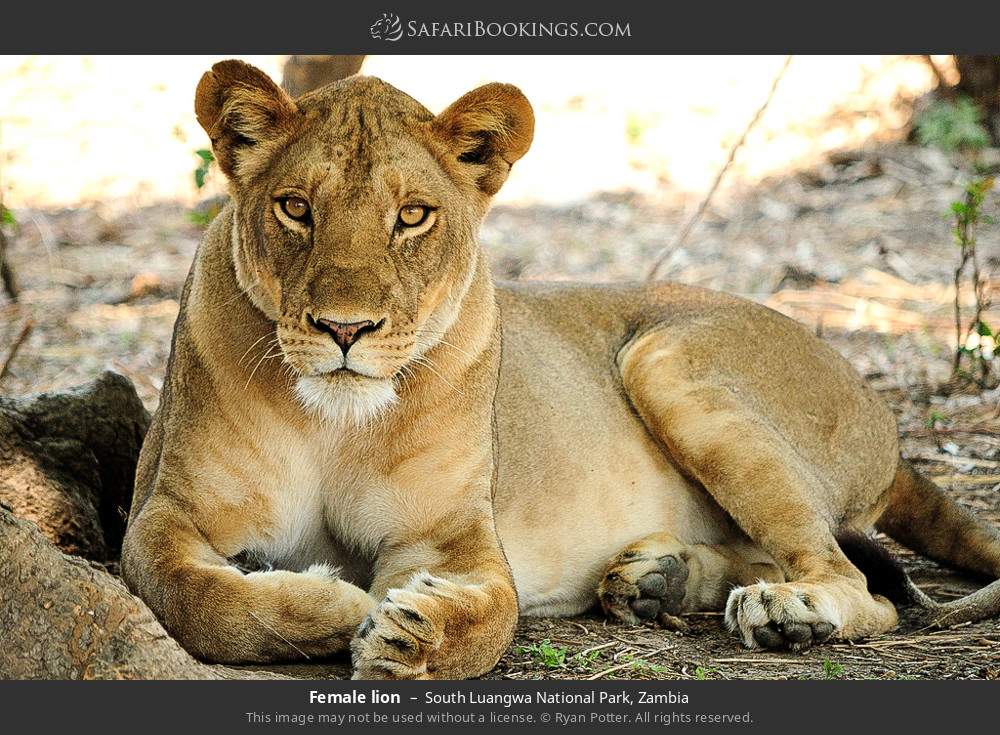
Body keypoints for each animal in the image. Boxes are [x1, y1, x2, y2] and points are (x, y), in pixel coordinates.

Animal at [121, 60, 1000, 680]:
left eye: (413, 216)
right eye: (296, 208)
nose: (345, 329)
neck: (336, 421)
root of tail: (884, 419)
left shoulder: (452, 538)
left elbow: (490, 615)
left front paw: (409, 632)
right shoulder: (166, 507)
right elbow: (187, 589)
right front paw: (330, 602)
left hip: (663, 356)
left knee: (863, 586)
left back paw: (788, 610)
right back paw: (660, 579)